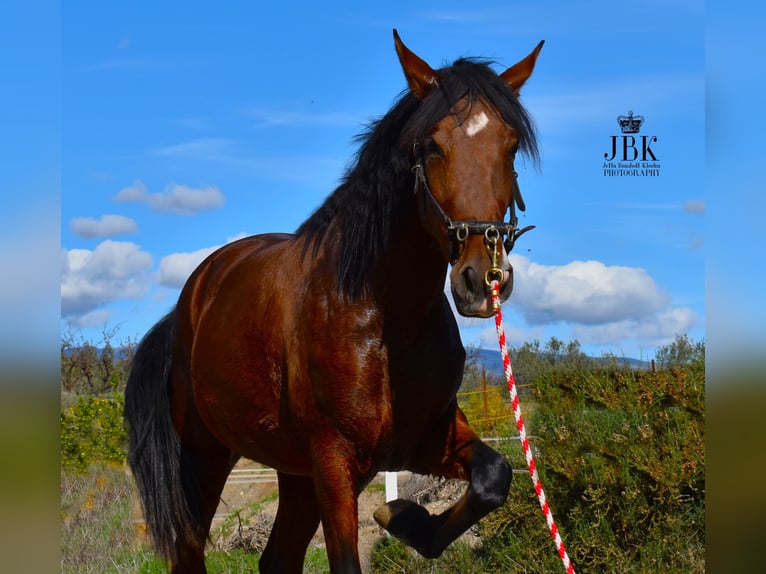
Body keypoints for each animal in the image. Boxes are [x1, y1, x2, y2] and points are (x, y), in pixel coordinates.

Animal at [126, 31, 544, 574]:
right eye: (432, 145)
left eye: (510, 145)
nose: (482, 278)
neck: (388, 322)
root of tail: (188, 305)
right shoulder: (334, 464)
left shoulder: (425, 439)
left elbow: (494, 476)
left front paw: (405, 519)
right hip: (205, 459)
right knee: (189, 552)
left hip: (294, 473)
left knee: (277, 559)